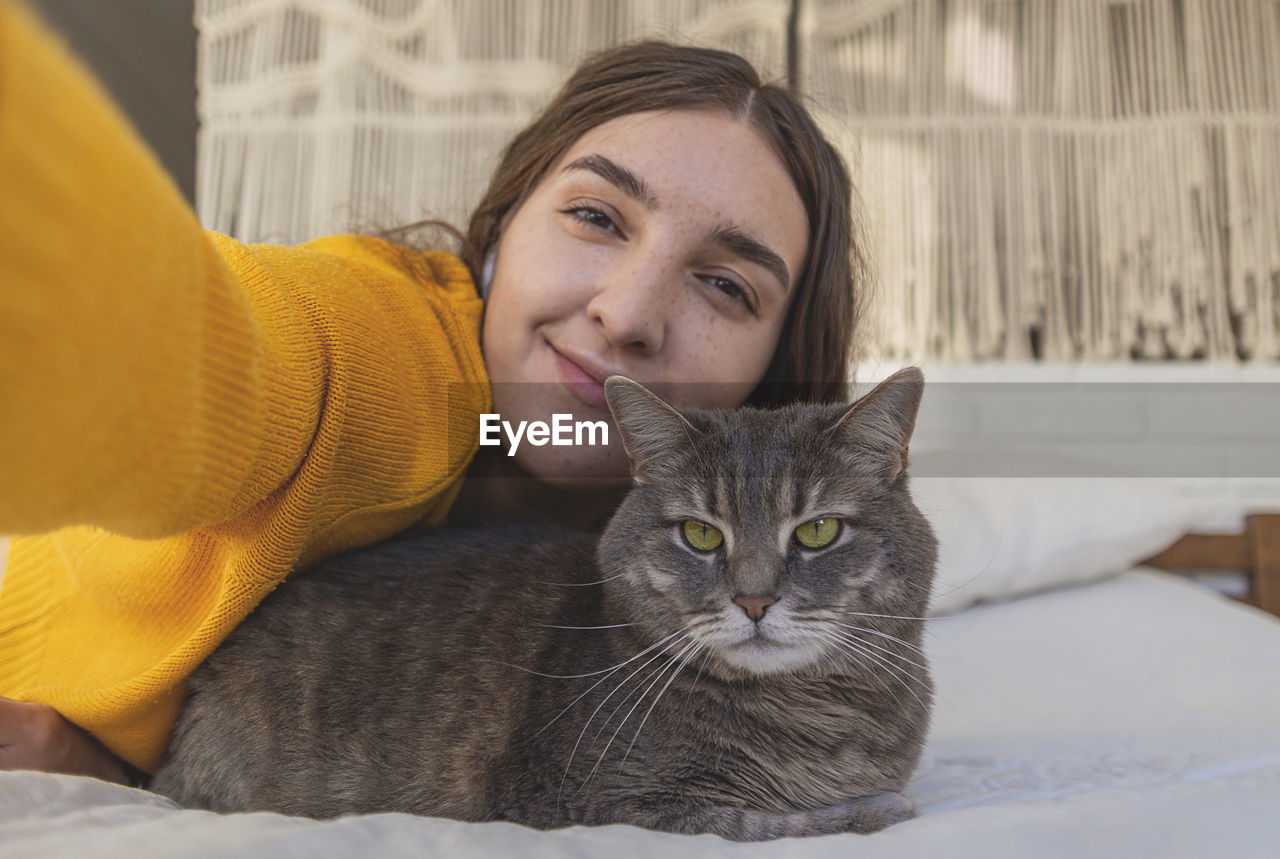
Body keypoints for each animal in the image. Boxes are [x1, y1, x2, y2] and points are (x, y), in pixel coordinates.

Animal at [152, 368, 942, 839]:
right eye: (698, 533)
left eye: (817, 531)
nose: (753, 598)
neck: (822, 714)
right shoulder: (602, 803)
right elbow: (772, 819)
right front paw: (879, 806)